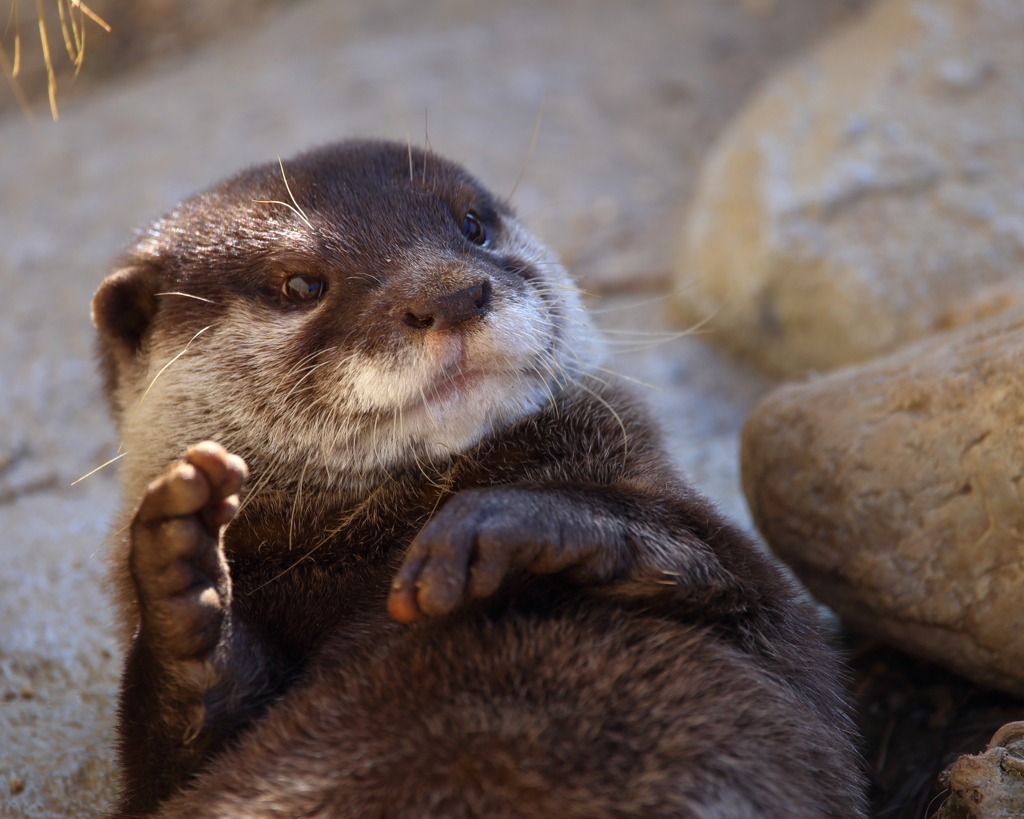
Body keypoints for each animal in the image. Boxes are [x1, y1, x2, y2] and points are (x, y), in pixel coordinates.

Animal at [92, 137, 868, 814]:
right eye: (300, 284)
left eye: (473, 226)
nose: (452, 294)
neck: (383, 538)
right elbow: (168, 760)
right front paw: (180, 573)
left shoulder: (768, 618)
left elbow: (729, 572)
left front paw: (498, 521)